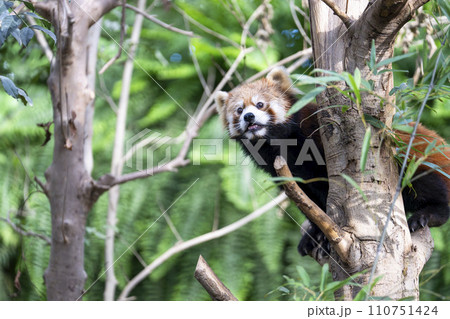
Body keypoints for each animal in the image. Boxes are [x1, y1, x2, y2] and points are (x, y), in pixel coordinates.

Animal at [215, 67, 450, 258]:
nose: (249, 117)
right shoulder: (283, 171)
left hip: (415, 161)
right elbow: (309, 200)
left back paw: (428, 214)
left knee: (425, 183)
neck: (280, 142)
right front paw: (315, 234)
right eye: (239, 110)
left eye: (260, 104)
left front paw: (328, 239)